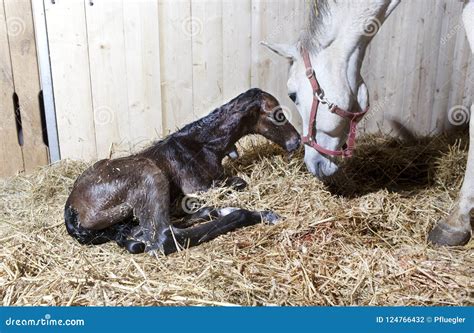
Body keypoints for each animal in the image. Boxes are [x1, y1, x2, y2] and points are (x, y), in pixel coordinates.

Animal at [65, 88, 300, 254]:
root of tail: (72, 207)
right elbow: (239, 182)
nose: (296, 140)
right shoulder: (198, 187)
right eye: (278, 115)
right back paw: (257, 214)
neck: (202, 144)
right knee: (165, 238)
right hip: (149, 174)